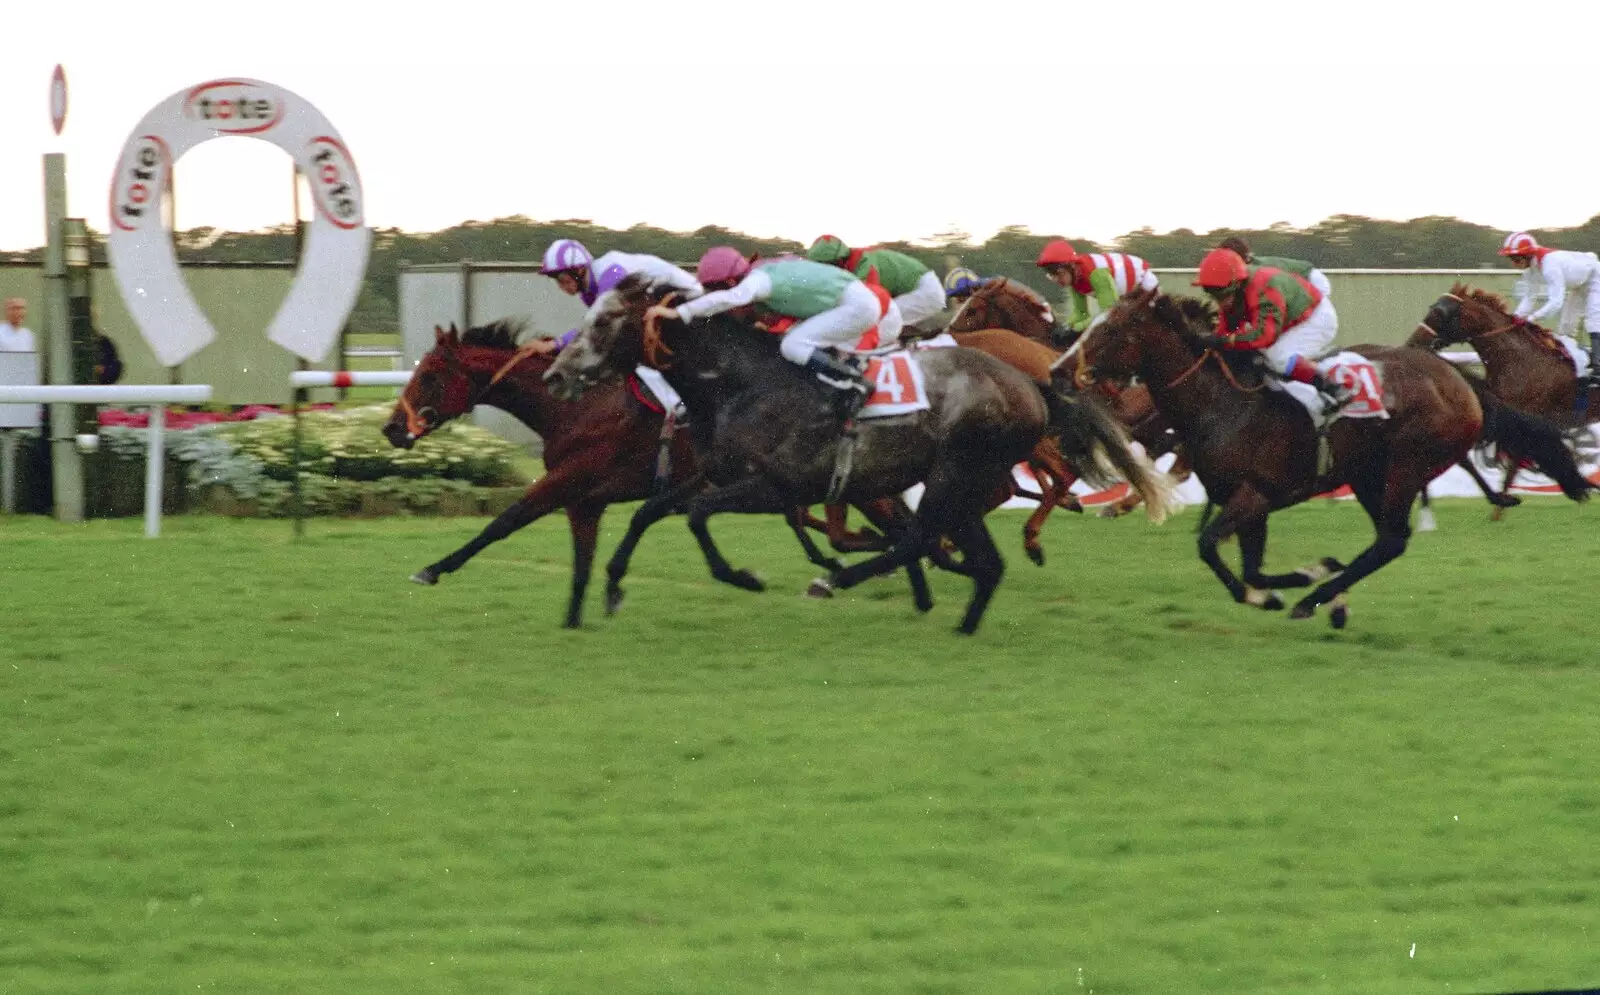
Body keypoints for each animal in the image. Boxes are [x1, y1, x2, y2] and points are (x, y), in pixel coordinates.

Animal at [376, 323, 921, 627]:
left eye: (430, 375)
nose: (392, 428)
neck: (574, 405)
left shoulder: (568, 481)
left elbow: (503, 521)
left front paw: (433, 568)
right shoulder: (585, 499)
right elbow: (582, 565)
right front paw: (578, 617)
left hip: (854, 482)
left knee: (893, 525)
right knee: (885, 528)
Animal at [544, 275, 1184, 630]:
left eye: (607, 320)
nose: (555, 375)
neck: (744, 381)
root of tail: (1031, 383)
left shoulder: (777, 488)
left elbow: (699, 516)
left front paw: (743, 576)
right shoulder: (720, 474)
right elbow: (652, 510)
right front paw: (613, 586)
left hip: (956, 473)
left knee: (922, 538)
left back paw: (841, 581)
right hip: (962, 483)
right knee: (972, 554)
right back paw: (963, 617)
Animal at [1062, 291, 1587, 630]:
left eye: (1111, 328)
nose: (1063, 370)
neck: (1222, 404)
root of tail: (1455, 376)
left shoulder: (1254, 495)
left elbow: (1209, 546)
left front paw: (1287, 588)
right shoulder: (1248, 504)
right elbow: (1249, 567)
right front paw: (1295, 580)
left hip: (1406, 466)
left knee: (1390, 540)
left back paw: (1317, 600)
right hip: (1368, 474)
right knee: (1387, 541)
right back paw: (1331, 598)